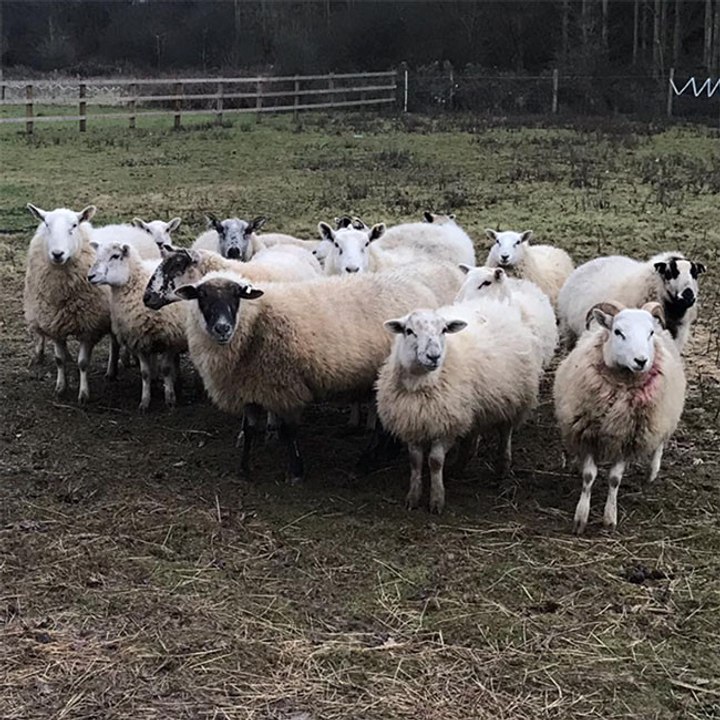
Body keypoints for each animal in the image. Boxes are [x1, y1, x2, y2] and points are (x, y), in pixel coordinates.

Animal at [23, 203, 117, 403]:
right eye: (46, 224)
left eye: (74, 225)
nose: (57, 254)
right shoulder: (54, 324)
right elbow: (59, 360)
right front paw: (60, 388)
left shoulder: (89, 327)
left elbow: (83, 363)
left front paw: (84, 393)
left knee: (114, 342)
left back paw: (112, 370)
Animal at [87, 240, 187, 411]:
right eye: (97, 255)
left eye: (115, 256)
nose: (90, 276)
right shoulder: (139, 338)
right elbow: (145, 373)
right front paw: (145, 401)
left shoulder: (170, 338)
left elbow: (166, 369)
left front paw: (170, 399)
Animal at [173, 261, 464, 483]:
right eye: (202, 297)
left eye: (237, 297)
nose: (222, 328)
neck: (255, 323)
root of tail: (420, 290)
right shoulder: (250, 387)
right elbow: (250, 429)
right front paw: (244, 469)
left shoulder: (284, 386)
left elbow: (289, 432)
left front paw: (296, 471)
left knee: (382, 425)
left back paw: (366, 462)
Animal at [376, 298, 542, 514]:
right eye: (409, 331)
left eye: (444, 330)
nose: (434, 356)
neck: (421, 384)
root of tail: (493, 303)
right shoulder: (413, 423)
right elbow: (415, 461)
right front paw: (413, 497)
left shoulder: (446, 425)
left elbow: (435, 461)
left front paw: (437, 500)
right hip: (473, 407)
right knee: (472, 433)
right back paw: (459, 465)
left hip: (514, 398)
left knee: (506, 431)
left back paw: (502, 466)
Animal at [554, 301, 686, 535]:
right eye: (618, 332)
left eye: (650, 333)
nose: (641, 361)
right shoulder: (588, 432)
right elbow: (589, 476)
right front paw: (581, 518)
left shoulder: (629, 438)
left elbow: (615, 479)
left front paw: (609, 518)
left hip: (666, 413)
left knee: (661, 442)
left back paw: (652, 472)